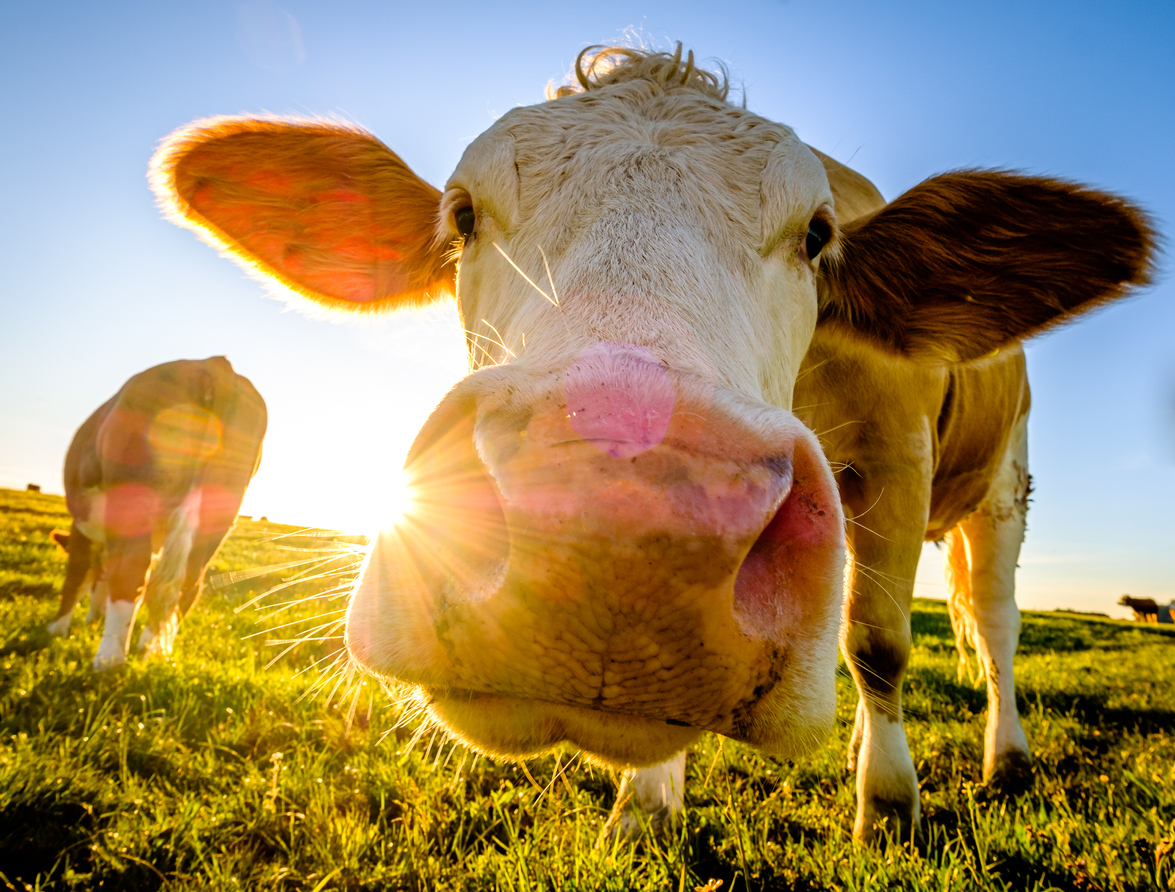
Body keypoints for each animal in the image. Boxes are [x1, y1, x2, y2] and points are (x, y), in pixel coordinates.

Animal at [46, 356, 267, 670]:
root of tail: (215, 363)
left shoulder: (82, 528)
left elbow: (76, 576)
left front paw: (57, 628)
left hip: (134, 495)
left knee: (131, 575)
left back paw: (108, 659)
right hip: (221, 508)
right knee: (187, 584)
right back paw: (157, 652)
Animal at [149, 46, 1154, 841]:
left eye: (817, 236)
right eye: (462, 214)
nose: (614, 532)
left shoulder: (893, 454)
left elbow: (878, 641)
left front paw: (889, 806)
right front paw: (644, 804)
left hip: (1003, 485)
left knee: (993, 623)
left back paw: (1005, 756)